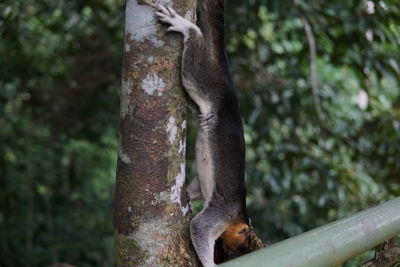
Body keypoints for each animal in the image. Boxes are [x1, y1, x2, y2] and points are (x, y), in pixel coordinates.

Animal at [155, 2, 250, 267]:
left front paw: (188, 192)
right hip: (213, 87)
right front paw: (210, 263)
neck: (239, 215)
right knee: (194, 73)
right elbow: (199, 227)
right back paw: (189, 28)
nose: (229, 253)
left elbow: (198, 185)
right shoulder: (223, 213)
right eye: (242, 246)